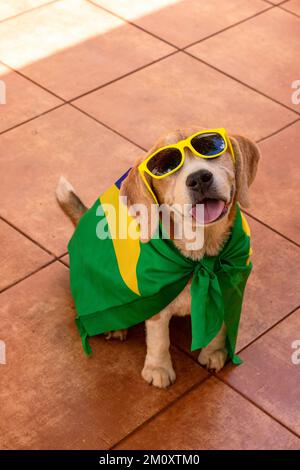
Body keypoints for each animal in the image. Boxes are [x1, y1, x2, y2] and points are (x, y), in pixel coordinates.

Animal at [56, 126, 260, 390]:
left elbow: (220, 324)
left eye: (211, 147)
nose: (199, 178)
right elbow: (159, 339)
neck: (200, 258)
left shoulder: (225, 284)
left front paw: (214, 352)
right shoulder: (155, 303)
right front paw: (158, 368)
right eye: (165, 166)